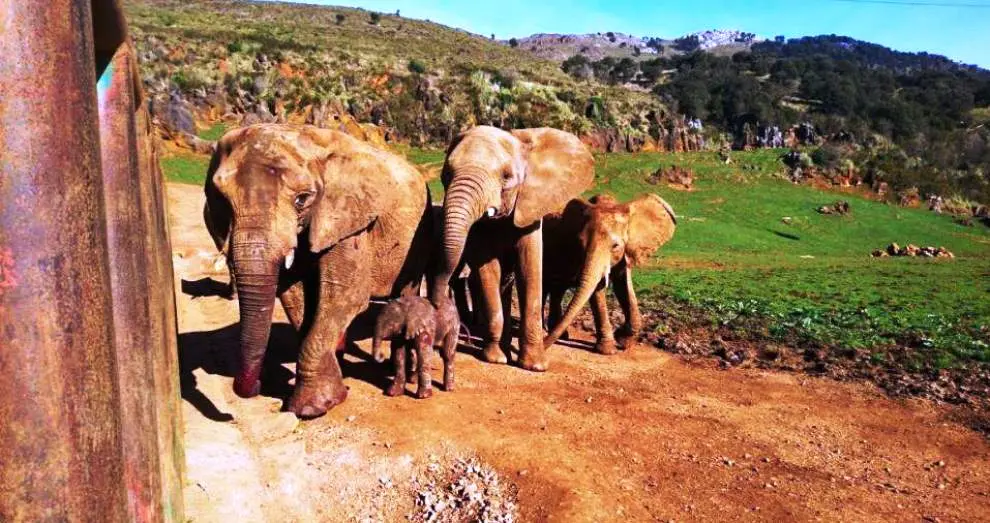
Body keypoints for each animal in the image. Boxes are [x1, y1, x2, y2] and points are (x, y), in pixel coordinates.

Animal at [204, 123, 430, 418]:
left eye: (302, 200)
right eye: (221, 200)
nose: (257, 386)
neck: (308, 139)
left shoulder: (349, 221)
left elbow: (346, 297)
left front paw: (311, 408)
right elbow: (296, 297)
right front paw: (331, 392)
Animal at [430, 127, 592, 372]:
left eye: (506, 176)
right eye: (446, 174)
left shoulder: (530, 208)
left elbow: (529, 269)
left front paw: (535, 366)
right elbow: (488, 270)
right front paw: (496, 359)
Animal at [540, 194, 680, 354]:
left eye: (615, 246)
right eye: (581, 243)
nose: (543, 349)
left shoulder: (625, 252)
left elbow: (623, 286)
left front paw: (623, 340)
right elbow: (597, 289)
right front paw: (608, 350)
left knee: (557, 289)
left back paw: (561, 335)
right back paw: (544, 333)